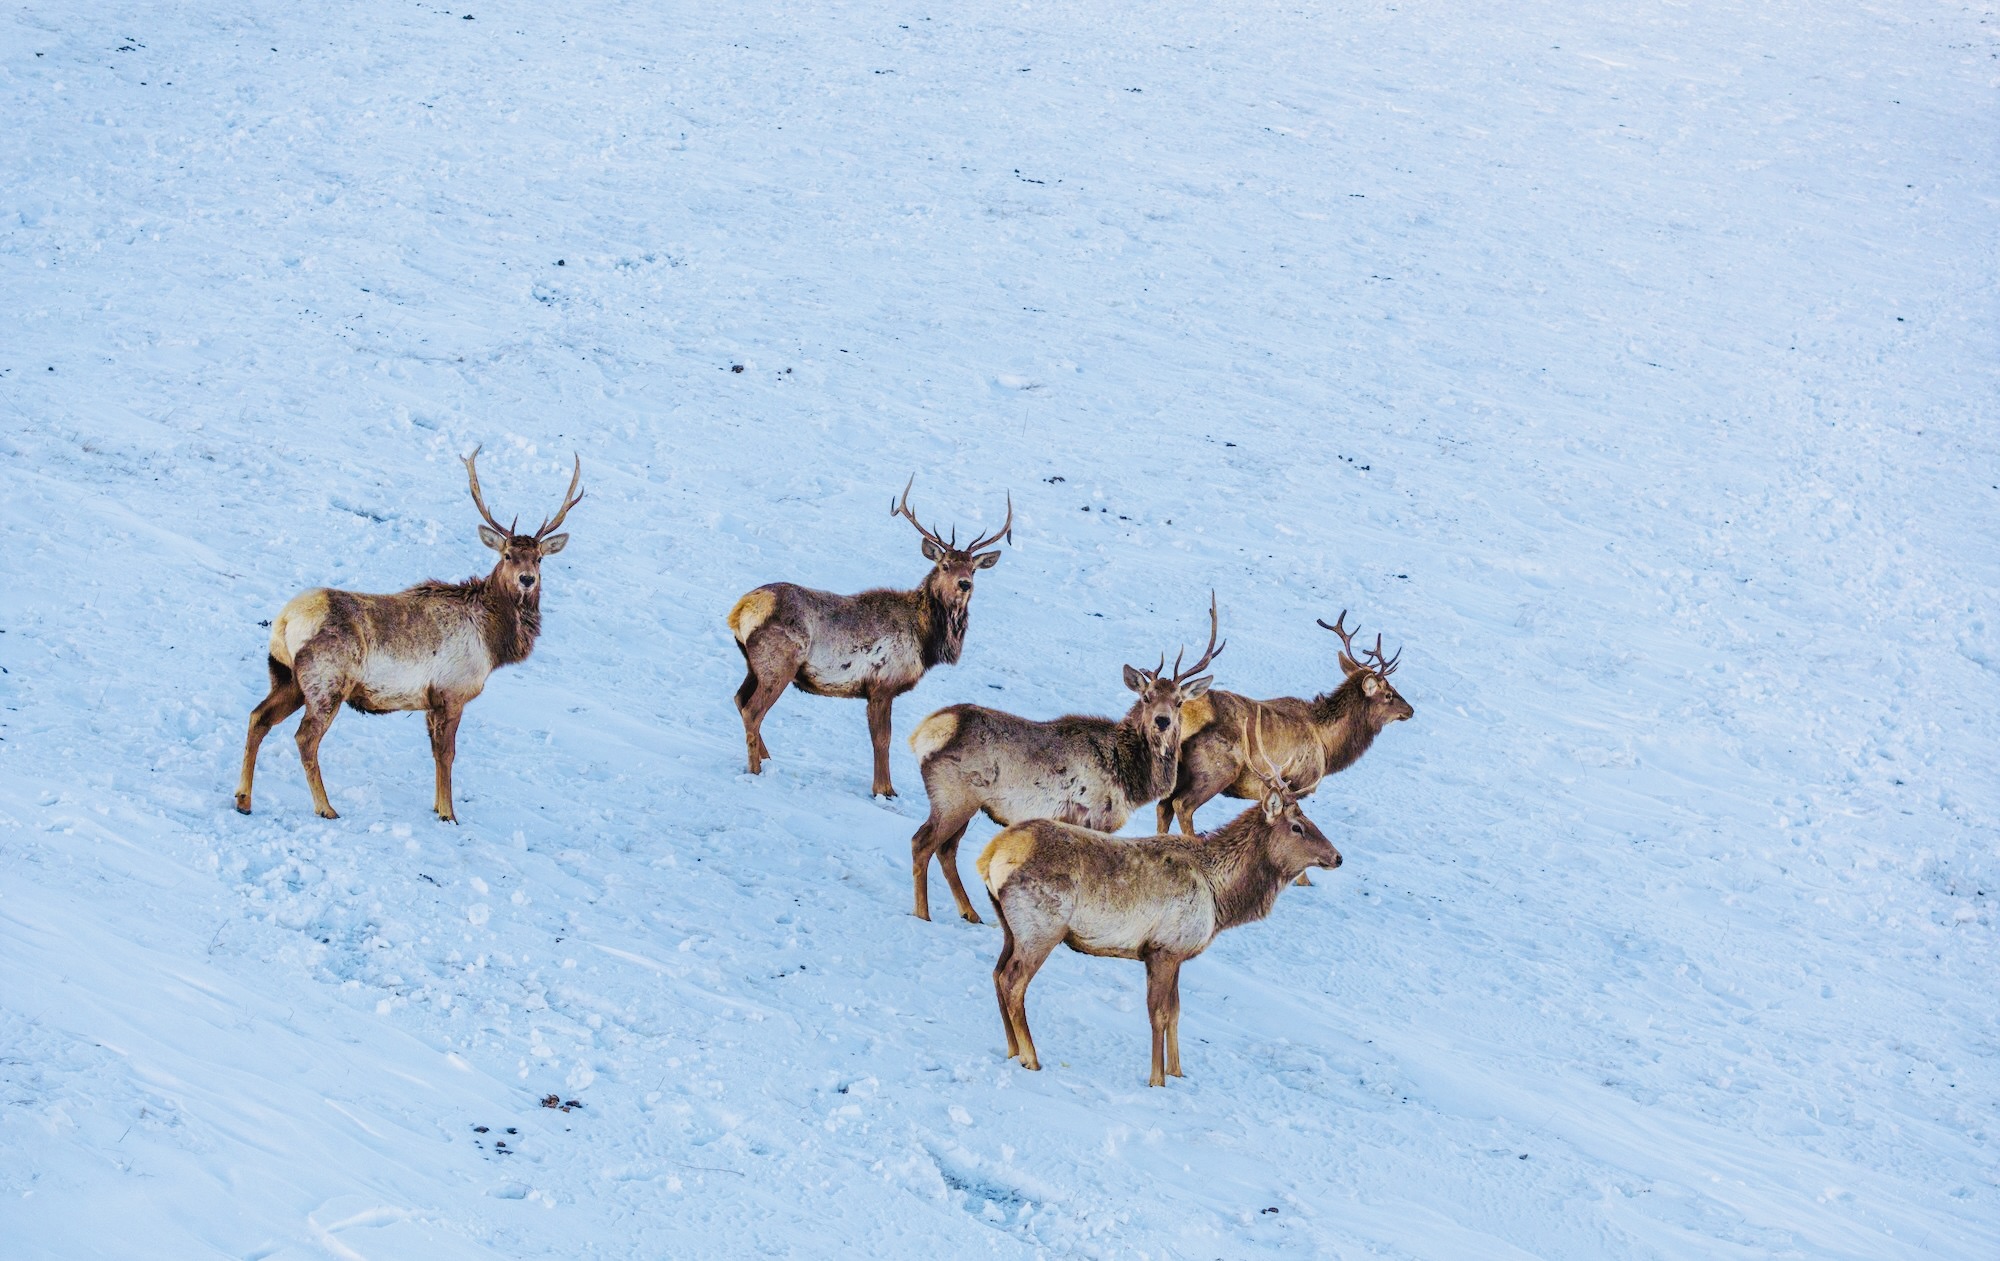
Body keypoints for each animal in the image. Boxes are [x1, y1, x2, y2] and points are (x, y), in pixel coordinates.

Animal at [233, 450, 584, 824]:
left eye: (539, 558)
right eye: (507, 555)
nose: (526, 579)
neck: (493, 642)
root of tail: (284, 620)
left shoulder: (430, 702)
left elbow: (434, 753)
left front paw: (437, 806)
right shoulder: (452, 692)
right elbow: (447, 755)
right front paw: (449, 815)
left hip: (287, 677)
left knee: (258, 717)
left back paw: (244, 799)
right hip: (326, 682)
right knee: (305, 738)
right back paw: (326, 807)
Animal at [728, 482, 1008, 800]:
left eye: (972, 568)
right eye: (946, 565)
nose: (965, 584)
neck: (926, 640)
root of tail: (740, 609)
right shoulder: (882, 685)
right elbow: (883, 739)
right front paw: (885, 790)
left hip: (753, 665)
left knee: (739, 699)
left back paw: (767, 759)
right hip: (778, 665)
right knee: (753, 710)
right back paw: (755, 770)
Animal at [904, 596, 1216, 924]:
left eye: (1178, 702)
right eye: (1147, 697)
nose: (1162, 721)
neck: (1131, 778)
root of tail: (924, 731)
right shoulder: (1092, 818)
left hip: (968, 803)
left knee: (946, 851)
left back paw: (970, 913)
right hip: (954, 797)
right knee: (922, 843)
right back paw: (922, 913)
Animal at [972, 712, 1336, 1088]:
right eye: (1297, 827)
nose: (1337, 857)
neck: (1220, 898)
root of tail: (990, 856)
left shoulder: (1174, 953)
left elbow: (1175, 1013)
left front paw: (1178, 1072)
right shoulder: (1163, 949)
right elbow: (1159, 1015)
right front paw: (1157, 1080)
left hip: (1009, 926)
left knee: (997, 974)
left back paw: (1012, 1050)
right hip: (1041, 928)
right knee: (1013, 982)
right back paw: (1030, 1057)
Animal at [1152, 612, 1416, 888]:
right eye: (1389, 694)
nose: (1410, 710)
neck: (1328, 747)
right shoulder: (1293, 782)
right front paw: (1304, 880)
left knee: (1163, 806)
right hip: (1216, 769)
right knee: (1182, 805)